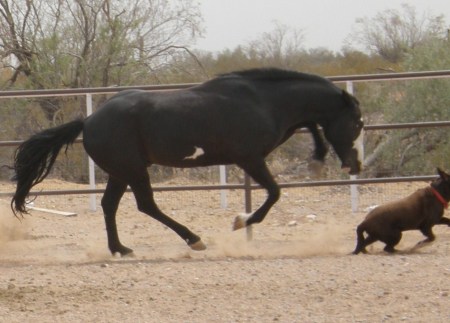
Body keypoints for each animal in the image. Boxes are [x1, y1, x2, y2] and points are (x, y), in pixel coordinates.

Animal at [10, 67, 364, 256]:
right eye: (358, 122)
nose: (355, 166)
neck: (263, 101)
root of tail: (88, 120)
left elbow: (312, 125)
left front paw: (317, 159)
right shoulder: (250, 159)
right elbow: (274, 193)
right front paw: (241, 221)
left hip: (121, 172)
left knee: (110, 205)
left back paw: (121, 249)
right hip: (133, 170)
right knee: (146, 205)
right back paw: (194, 240)